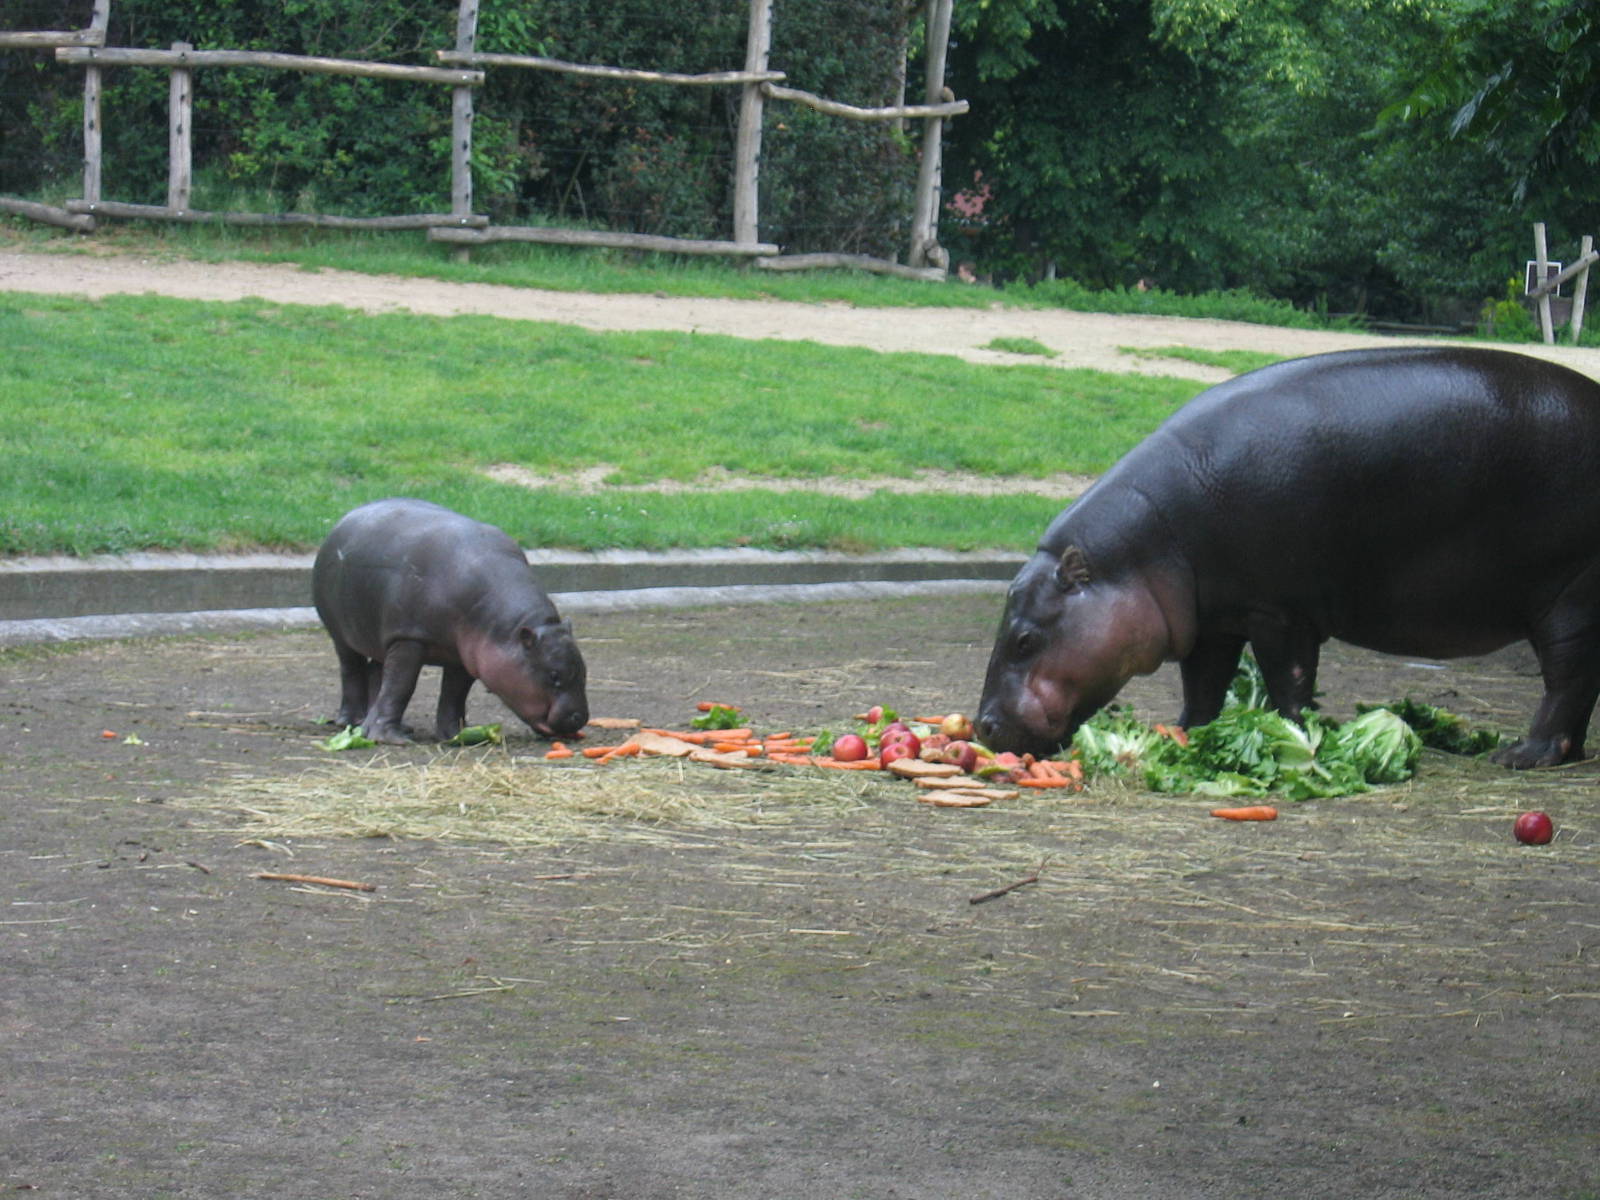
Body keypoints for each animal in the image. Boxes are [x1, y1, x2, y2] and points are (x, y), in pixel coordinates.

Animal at [312, 498, 588, 744]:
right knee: (352, 670)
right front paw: (390, 739)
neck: (508, 630)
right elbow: (401, 685)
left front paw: (455, 735)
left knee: (376, 672)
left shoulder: (465, 653)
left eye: (584, 670)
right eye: (554, 675)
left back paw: (390, 725)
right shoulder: (408, 637)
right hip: (342, 633)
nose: (580, 717)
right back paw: (353, 722)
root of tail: (346, 518)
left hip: (380, 636)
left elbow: (454, 694)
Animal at [975, 346, 1600, 769]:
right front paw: (1188, 733)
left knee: (1568, 680)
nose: (982, 726)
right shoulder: (1213, 620)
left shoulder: (1278, 612)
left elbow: (1288, 680)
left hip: (1569, 597)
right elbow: (1202, 684)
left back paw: (1522, 755)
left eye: (1025, 639)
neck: (1140, 549)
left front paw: (1296, 734)